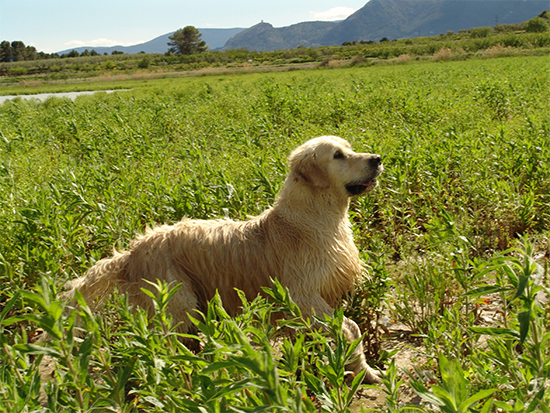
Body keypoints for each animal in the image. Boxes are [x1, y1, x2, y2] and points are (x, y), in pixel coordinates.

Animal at [68, 136, 384, 384]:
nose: (378, 158)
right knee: (162, 346)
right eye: (338, 155)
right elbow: (351, 328)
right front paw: (366, 373)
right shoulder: (303, 297)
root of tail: (129, 253)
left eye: (350, 148)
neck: (312, 219)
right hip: (176, 302)